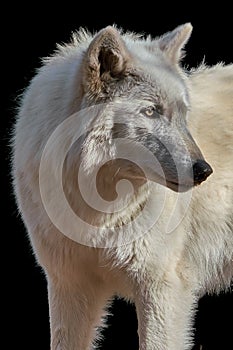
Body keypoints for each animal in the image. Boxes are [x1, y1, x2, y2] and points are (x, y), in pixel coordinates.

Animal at [11, 23, 232, 348]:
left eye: (182, 114)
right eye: (151, 111)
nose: (203, 170)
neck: (97, 213)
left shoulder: (161, 285)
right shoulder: (69, 283)